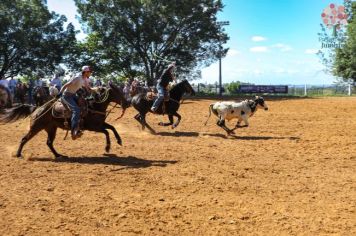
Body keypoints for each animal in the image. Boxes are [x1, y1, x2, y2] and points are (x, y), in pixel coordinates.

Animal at [0, 83, 131, 160]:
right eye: (117, 92)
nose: (128, 103)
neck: (94, 106)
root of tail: (37, 108)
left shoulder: (100, 124)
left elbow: (112, 128)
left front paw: (119, 141)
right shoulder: (93, 127)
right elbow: (107, 132)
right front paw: (107, 148)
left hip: (51, 129)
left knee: (49, 143)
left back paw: (59, 155)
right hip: (36, 127)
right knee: (24, 139)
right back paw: (18, 154)